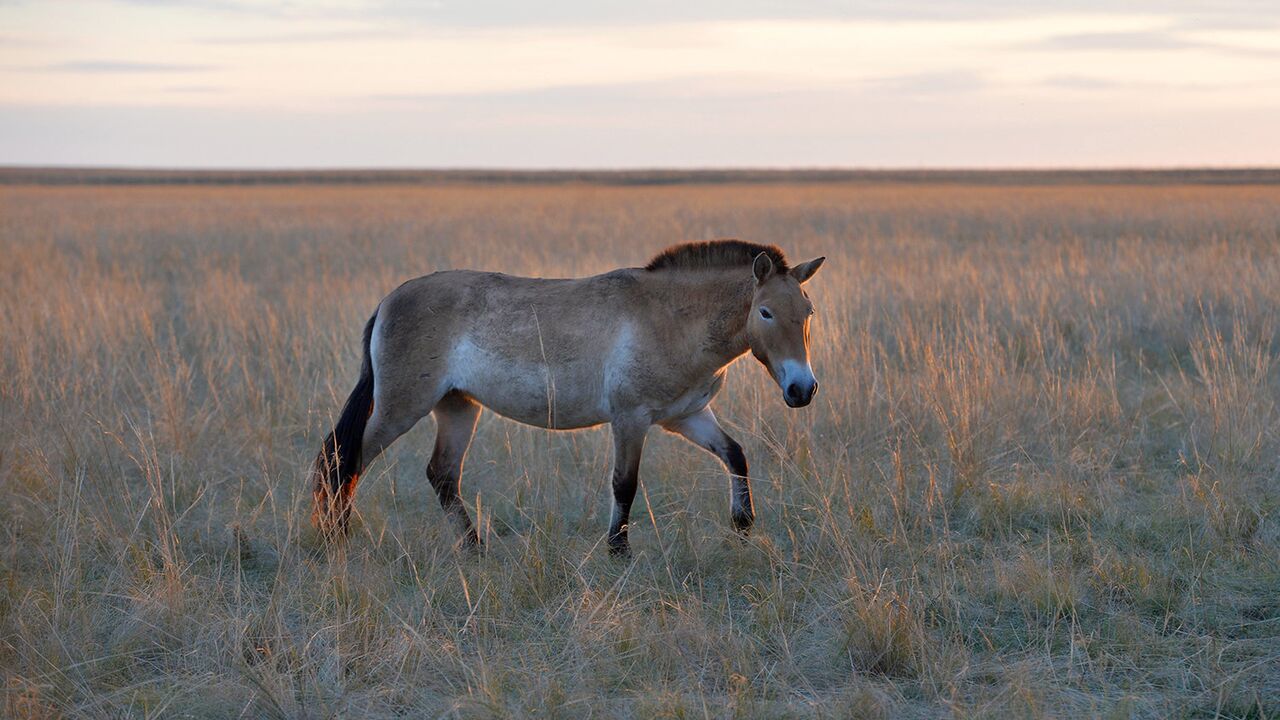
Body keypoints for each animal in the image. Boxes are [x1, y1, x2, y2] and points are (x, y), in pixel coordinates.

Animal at [313, 238, 824, 550]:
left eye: (808, 311)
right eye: (765, 312)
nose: (802, 389)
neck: (671, 318)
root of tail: (388, 300)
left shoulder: (686, 416)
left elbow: (735, 455)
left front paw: (742, 525)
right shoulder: (631, 419)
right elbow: (624, 484)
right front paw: (618, 550)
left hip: (457, 407)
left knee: (441, 475)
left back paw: (475, 548)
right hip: (401, 408)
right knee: (345, 460)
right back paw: (336, 538)